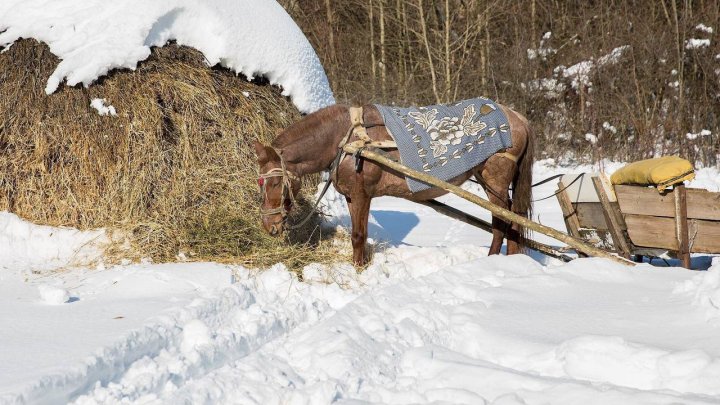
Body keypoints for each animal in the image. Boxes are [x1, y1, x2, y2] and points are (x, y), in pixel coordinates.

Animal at [255, 102, 536, 264]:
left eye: (276, 183)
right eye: (261, 183)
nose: (270, 226)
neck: (345, 139)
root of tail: (518, 118)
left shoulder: (362, 195)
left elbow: (358, 236)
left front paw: (358, 271)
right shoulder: (352, 197)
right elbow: (359, 236)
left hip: (495, 179)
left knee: (505, 220)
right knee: (509, 220)